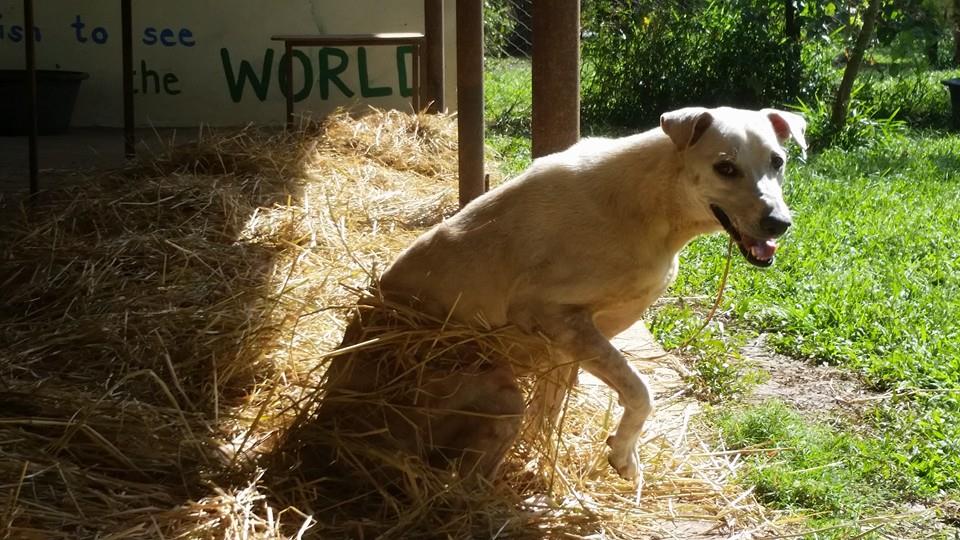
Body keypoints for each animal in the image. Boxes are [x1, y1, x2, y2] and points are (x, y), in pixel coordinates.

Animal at [319, 106, 806, 481]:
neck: (650, 205)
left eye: (778, 161)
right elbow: (641, 390)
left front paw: (547, 457)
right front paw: (622, 454)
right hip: (497, 395)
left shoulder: (568, 343)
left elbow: (551, 413)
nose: (780, 223)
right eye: (726, 167)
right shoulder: (552, 314)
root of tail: (331, 424)